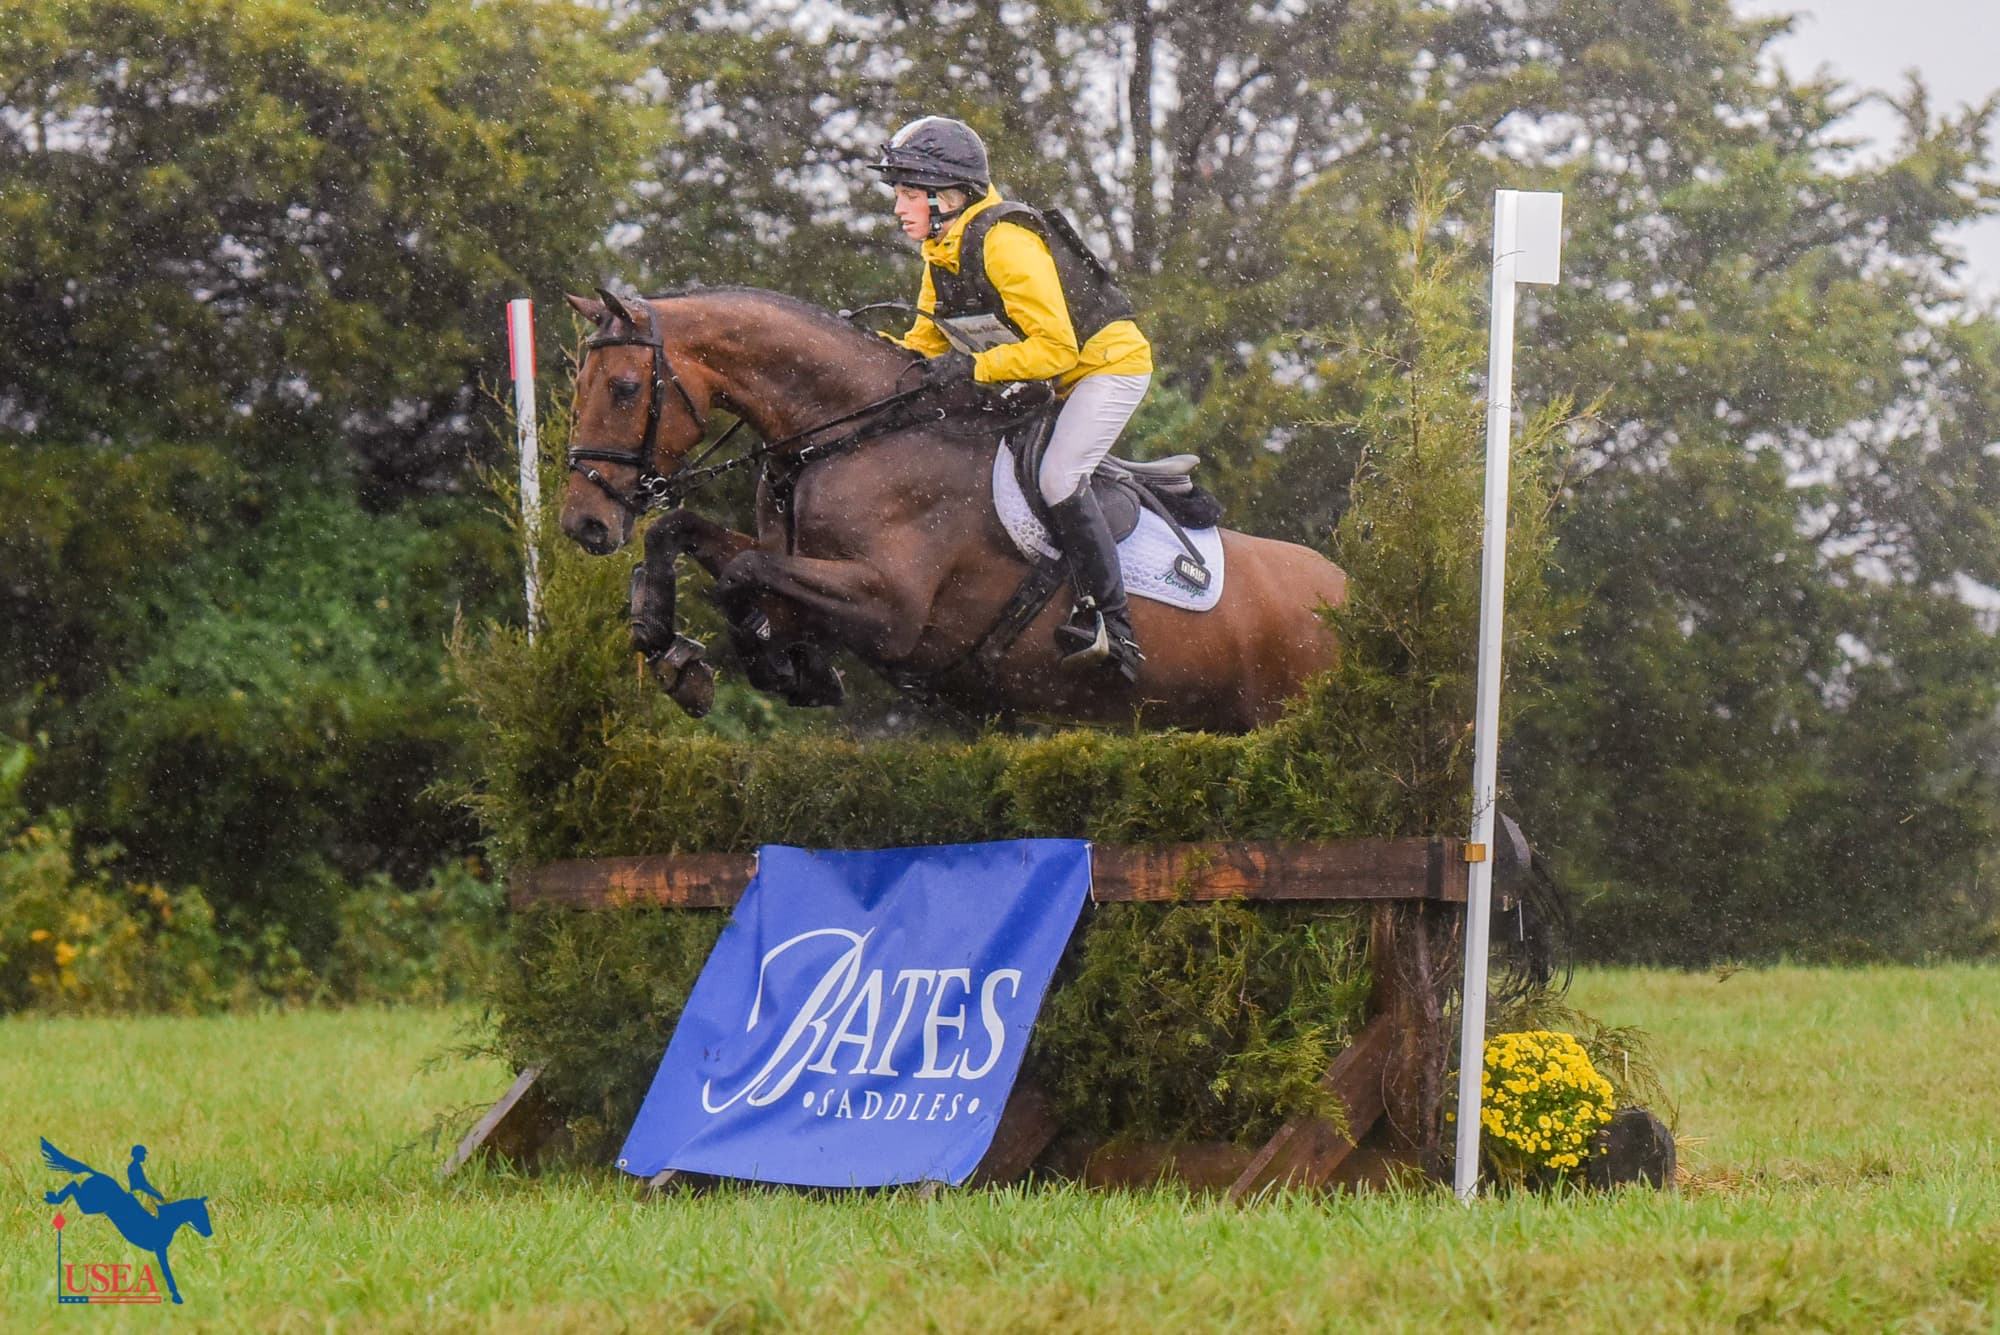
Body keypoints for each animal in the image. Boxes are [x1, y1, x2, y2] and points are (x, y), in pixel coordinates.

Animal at [557, 286, 1347, 733]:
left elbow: (741, 574)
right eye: (578, 387)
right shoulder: (802, 565)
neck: (849, 434)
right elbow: (679, 533)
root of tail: (1349, 599)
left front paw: (777, 664)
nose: (583, 523)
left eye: (624, 388)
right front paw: (665, 640)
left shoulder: (891, 607)